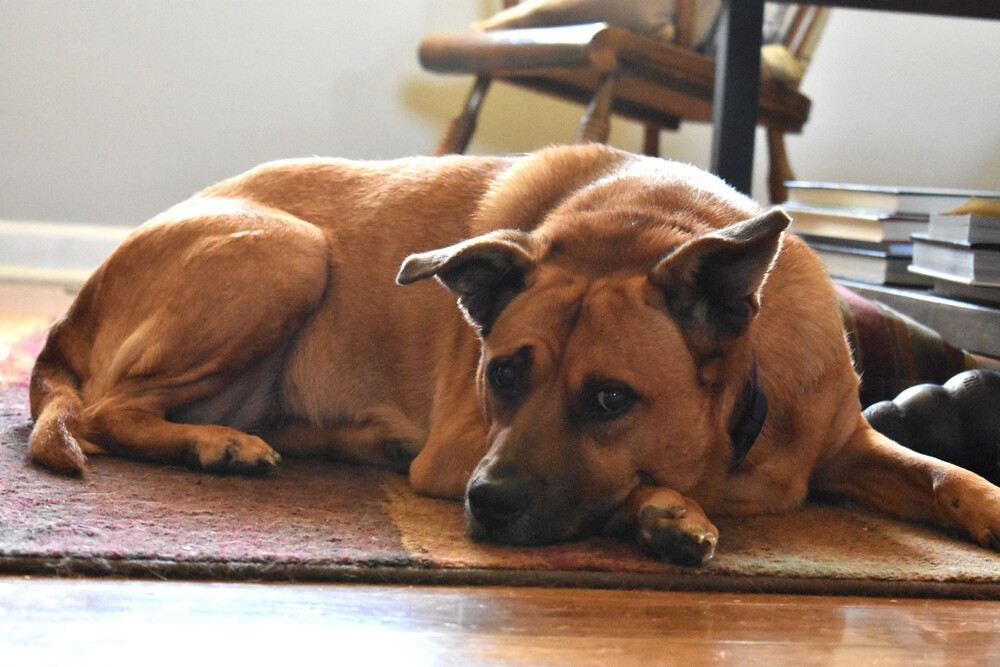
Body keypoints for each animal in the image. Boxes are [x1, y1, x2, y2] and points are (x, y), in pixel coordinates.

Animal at [29, 145, 1000, 564]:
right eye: (501, 373)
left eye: (610, 398)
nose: (485, 501)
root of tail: (73, 314)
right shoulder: (463, 443)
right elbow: (637, 490)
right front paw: (666, 511)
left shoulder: (848, 440)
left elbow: (947, 475)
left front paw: (986, 506)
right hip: (290, 251)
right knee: (108, 409)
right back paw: (216, 444)